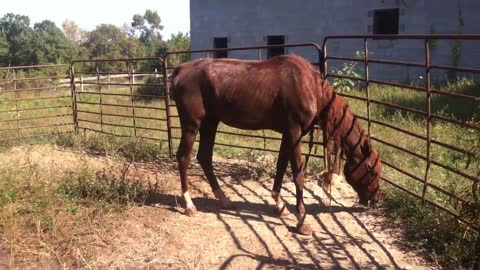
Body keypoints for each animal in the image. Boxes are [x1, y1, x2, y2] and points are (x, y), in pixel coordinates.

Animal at [171, 54, 380, 234]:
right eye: (371, 170)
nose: (375, 199)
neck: (310, 87)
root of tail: (180, 70)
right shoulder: (294, 133)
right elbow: (298, 175)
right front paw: (302, 220)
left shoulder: (288, 135)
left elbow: (281, 166)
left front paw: (280, 206)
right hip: (192, 124)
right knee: (184, 157)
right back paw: (189, 205)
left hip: (210, 122)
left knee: (204, 157)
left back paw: (224, 200)